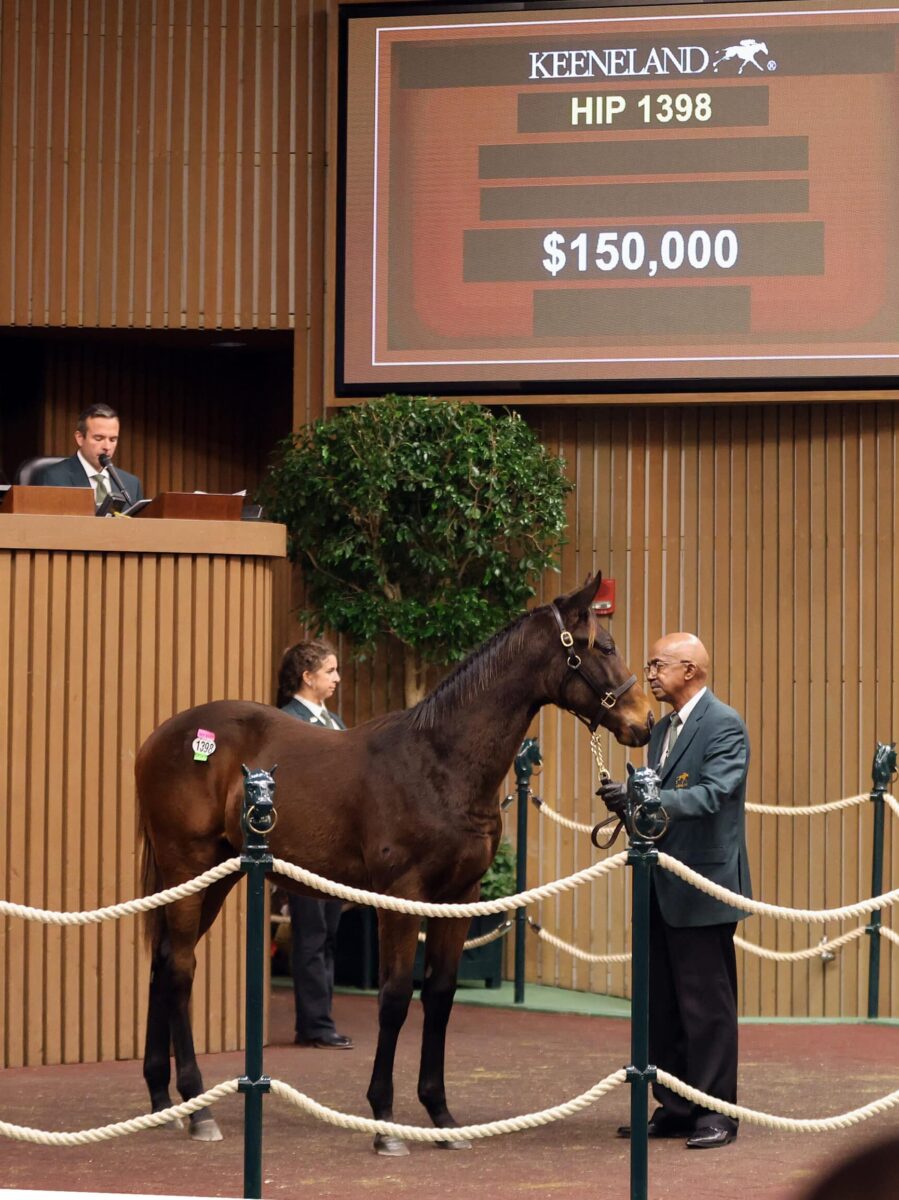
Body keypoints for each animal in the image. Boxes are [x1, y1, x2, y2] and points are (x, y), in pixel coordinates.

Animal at [135, 571, 652, 1152]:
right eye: (602, 647)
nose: (645, 720)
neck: (438, 762)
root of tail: (161, 738)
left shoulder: (461, 896)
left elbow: (441, 996)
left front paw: (442, 1116)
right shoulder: (401, 897)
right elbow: (396, 996)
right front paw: (384, 1121)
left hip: (212, 878)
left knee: (161, 961)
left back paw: (162, 1099)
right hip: (187, 865)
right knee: (179, 968)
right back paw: (198, 1107)